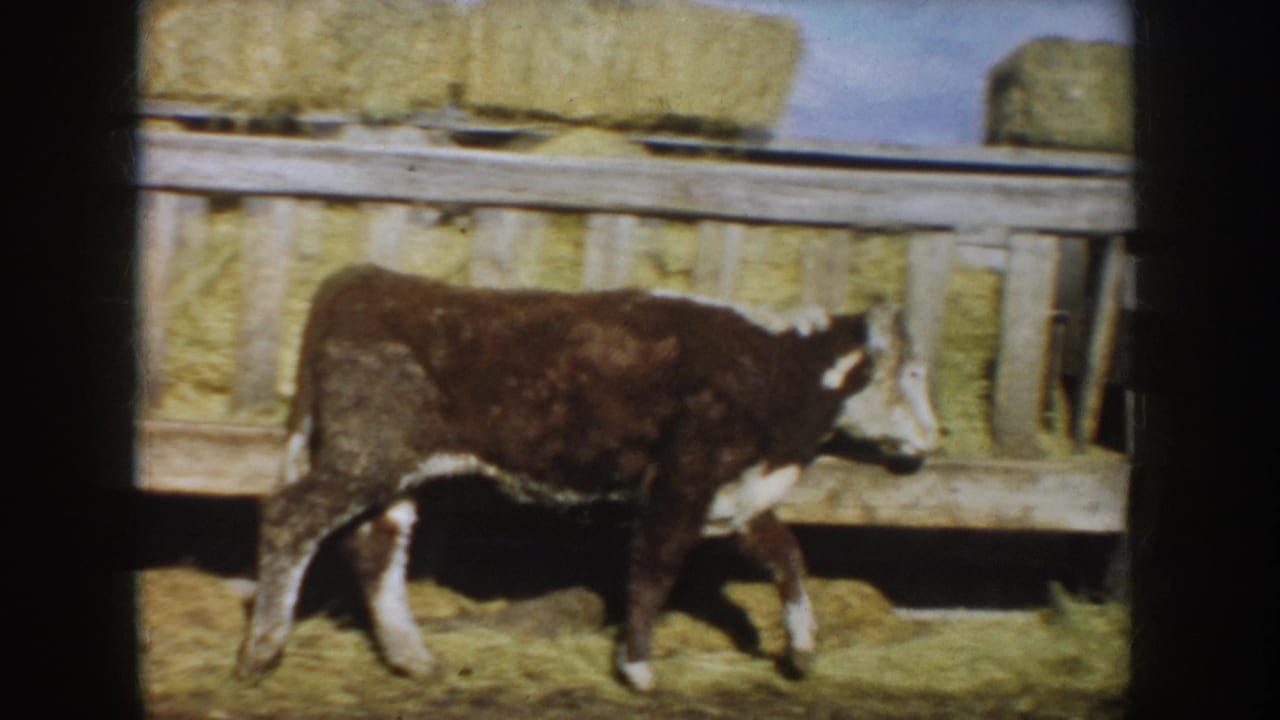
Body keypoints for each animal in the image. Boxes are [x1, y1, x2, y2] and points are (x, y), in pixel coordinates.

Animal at [234, 263, 940, 691]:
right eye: (910, 373)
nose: (937, 436)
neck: (772, 367)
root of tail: (367, 277)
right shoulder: (681, 480)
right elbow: (656, 566)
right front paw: (638, 668)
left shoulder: (737, 492)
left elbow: (788, 557)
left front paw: (802, 648)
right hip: (363, 456)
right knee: (291, 518)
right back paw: (260, 652)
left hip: (395, 469)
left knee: (376, 547)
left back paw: (414, 658)